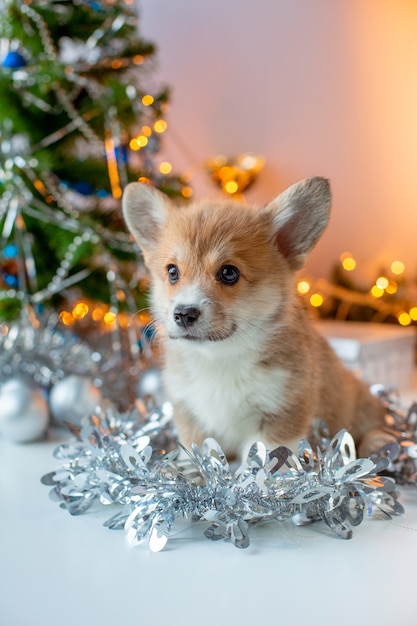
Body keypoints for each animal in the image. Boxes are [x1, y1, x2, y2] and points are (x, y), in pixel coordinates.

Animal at [122, 178, 390, 456]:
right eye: (172, 272)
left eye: (229, 272)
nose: (184, 313)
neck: (220, 359)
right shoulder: (190, 414)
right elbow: (198, 454)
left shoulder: (281, 413)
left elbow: (263, 460)